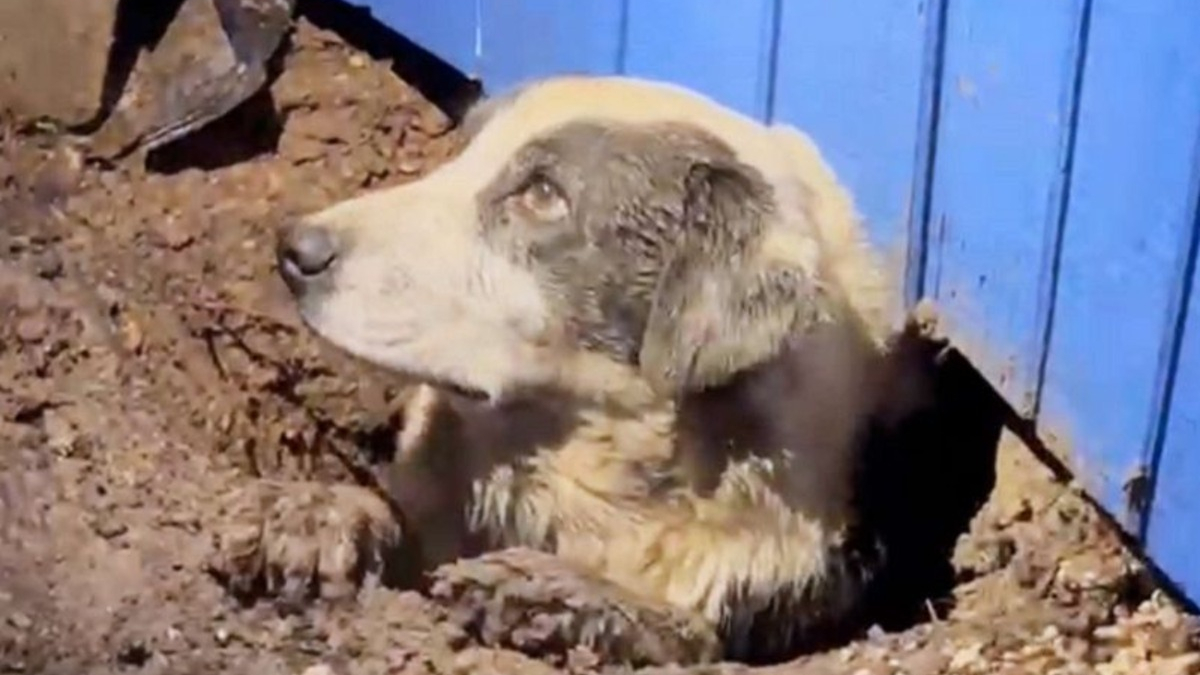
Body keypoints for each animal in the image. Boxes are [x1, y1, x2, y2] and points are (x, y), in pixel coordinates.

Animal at [208, 74, 926, 662]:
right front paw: (308, 514)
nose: (295, 249)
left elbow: (687, 626)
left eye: (543, 194)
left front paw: (552, 591)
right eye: (463, 154)